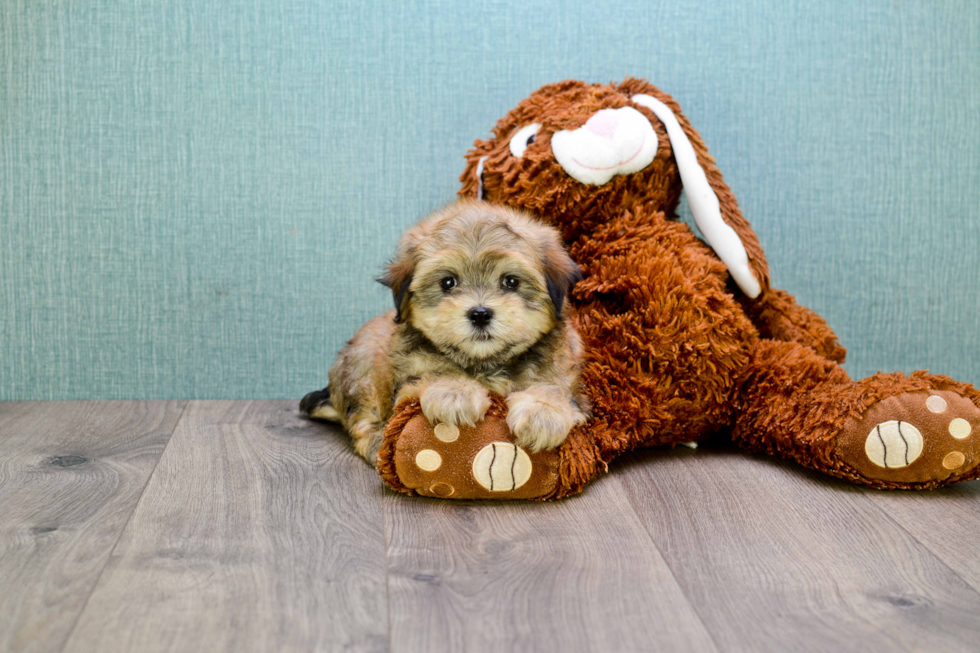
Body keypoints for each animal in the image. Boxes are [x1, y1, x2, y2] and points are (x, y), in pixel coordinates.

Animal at [302, 201, 584, 466]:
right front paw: (455, 392)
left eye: (511, 281)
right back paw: (379, 446)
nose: (480, 314)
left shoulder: (564, 370)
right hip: (364, 367)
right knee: (364, 417)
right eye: (448, 282)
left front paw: (543, 412)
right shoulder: (407, 383)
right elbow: (434, 372)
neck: (485, 363)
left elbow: (553, 386)